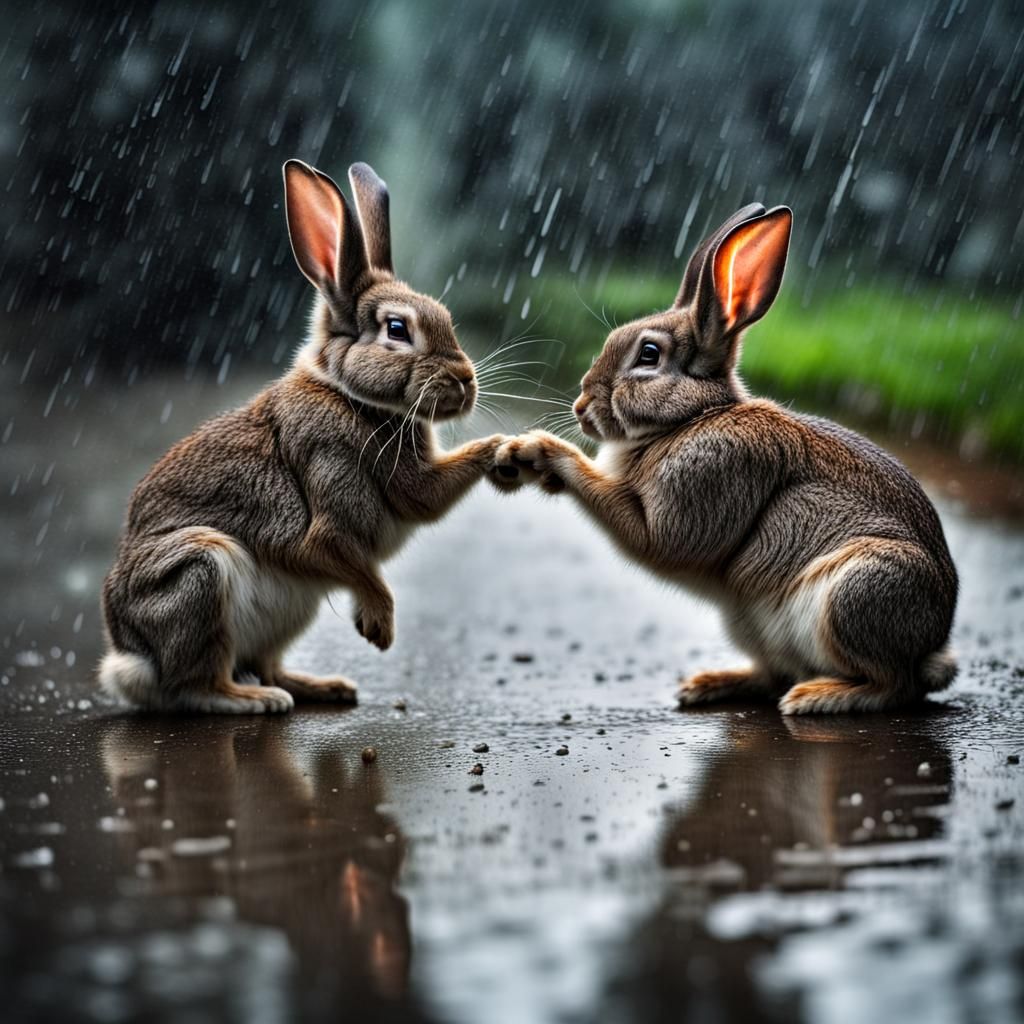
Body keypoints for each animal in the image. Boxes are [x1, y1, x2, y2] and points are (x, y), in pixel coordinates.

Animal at [100, 160, 507, 714]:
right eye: (397, 329)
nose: (466, 382)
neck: (352, 398)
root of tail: (131, 661)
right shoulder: (329, 487)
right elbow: (357, 551)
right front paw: (379, 628)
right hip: (199, 572)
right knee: (195, 683)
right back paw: (257, 700)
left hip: (290, 610)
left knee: (263, 663)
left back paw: (326, 688)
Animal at [492, 203, 958, 715]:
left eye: (648, 355)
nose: (581, 406)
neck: (691, 417)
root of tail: (931, 645)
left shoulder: (692, 494)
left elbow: (638, 524)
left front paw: (537, 450)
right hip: (750, 623)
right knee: (772, 674)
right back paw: (707, 685)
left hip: (860, 590)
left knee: (895, 684)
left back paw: (815, 698)